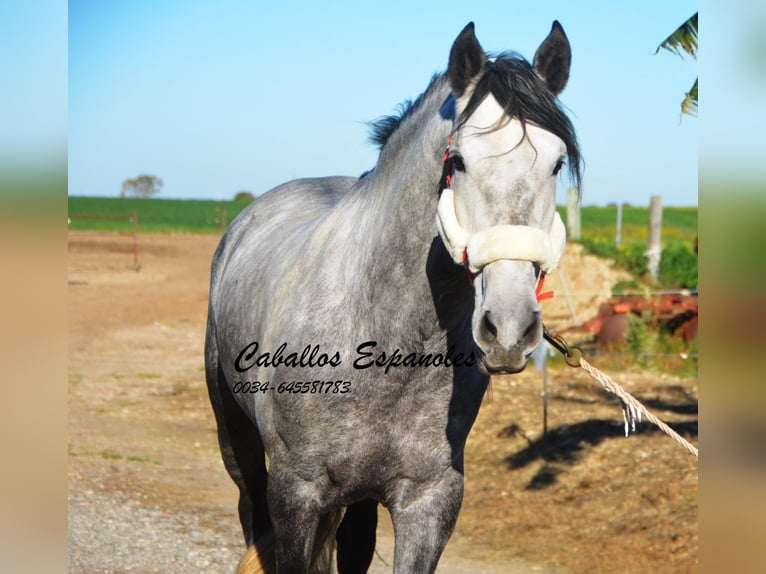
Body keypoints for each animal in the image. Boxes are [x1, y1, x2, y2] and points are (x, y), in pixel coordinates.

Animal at [207, 20, 580, 572]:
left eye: (556, 165)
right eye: (458, 161)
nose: (510, 327)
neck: (385, 341)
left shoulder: (429, 501)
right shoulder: (295, 493)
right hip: (238, 442)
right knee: (250, 512)